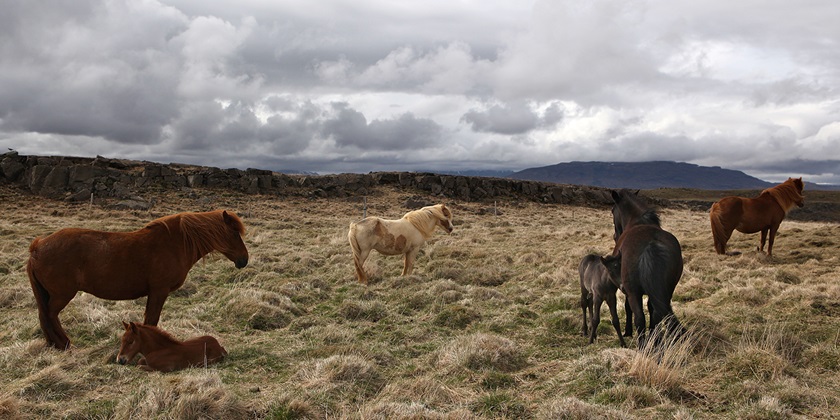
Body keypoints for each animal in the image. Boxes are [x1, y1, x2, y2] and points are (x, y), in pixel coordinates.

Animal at [26, 210, 248, 352]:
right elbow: (152, 320)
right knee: (50, 315)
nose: (244, 260)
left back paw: (55, 344)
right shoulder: (159, 291)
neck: (174, 244)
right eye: (234, 233)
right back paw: (64, 343)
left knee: (44, 316)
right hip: (61, 295)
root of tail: (38, 247)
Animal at [612, 190, 684, 348]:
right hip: (667, 290)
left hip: (634, 292)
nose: (615, 236)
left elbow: (628, 308)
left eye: (612, 210)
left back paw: (642, 345)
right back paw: (655, 340)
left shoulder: (628, 290)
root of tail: (651, 245)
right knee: (656, 315)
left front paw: (627, 331)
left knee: (639, 318)